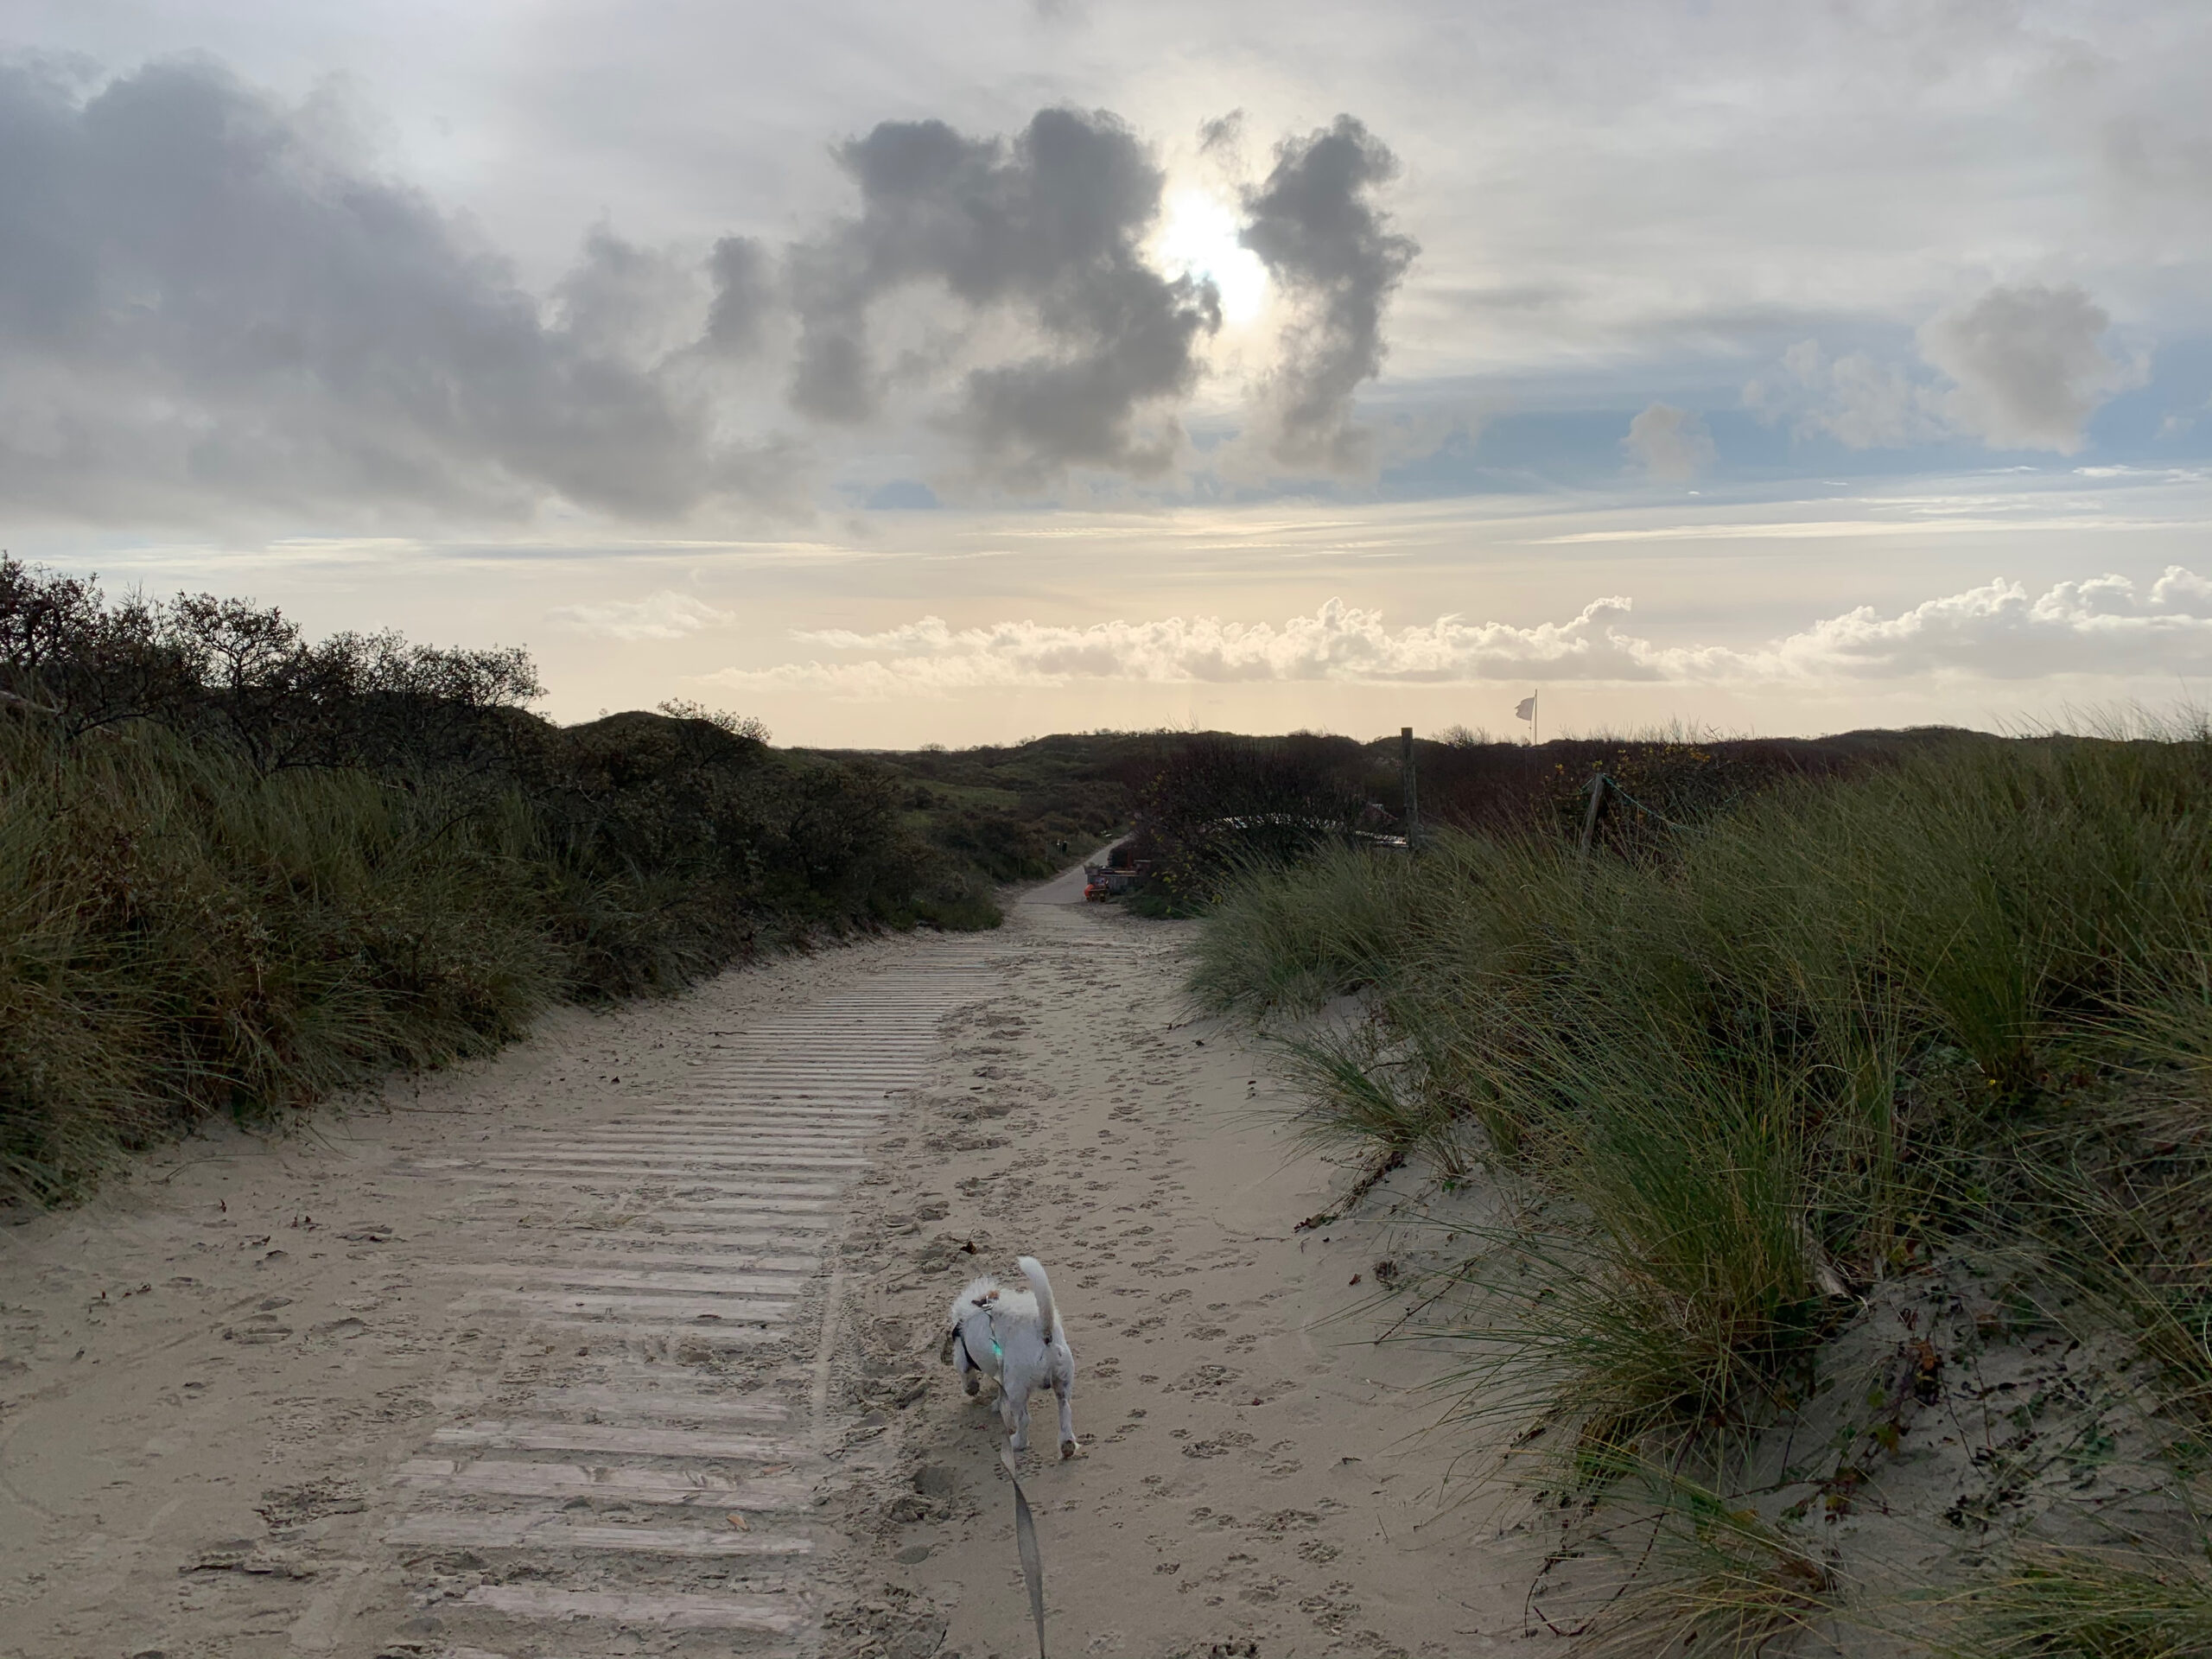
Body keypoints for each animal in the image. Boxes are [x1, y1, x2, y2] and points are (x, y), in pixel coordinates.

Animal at [938, 1256, 1075, 1451]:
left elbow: (966, 1373)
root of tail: (1044, 1331)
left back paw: (1017, 1442)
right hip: (1063, 1380)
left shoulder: (962, 1356)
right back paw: (1067, 1446)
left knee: (1024, 1419)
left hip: (1016, 1387)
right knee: (1065, 1412)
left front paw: (973, 1389)